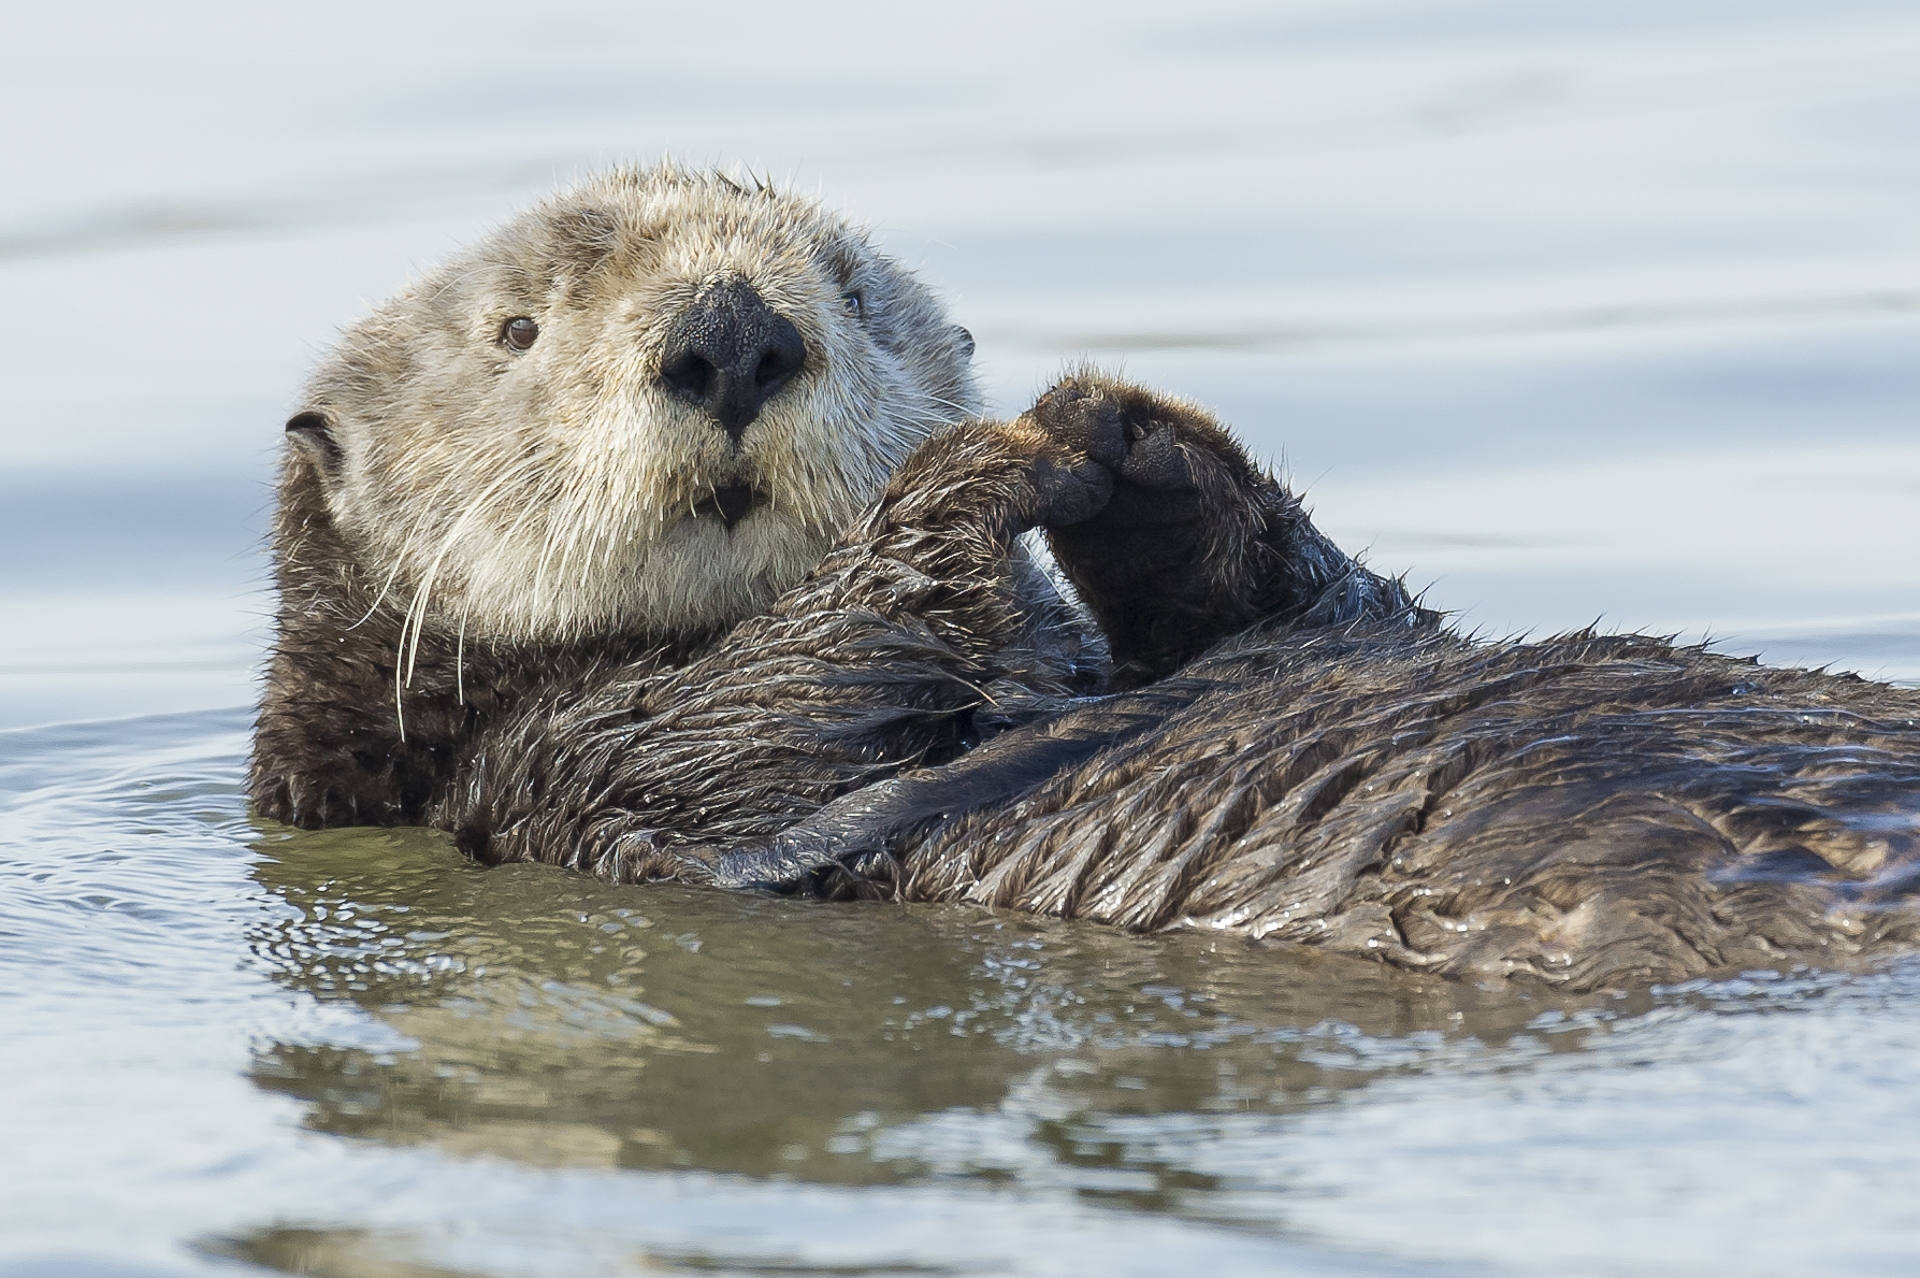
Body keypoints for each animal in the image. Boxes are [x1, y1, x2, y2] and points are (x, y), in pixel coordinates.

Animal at [255, 164, 1920, 990]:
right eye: (517, 330)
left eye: (851, 292)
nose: (733, 332)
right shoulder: (561, 776)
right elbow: (777, 705)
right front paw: (976, 478)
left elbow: (1318, 607)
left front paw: (1117, 430)